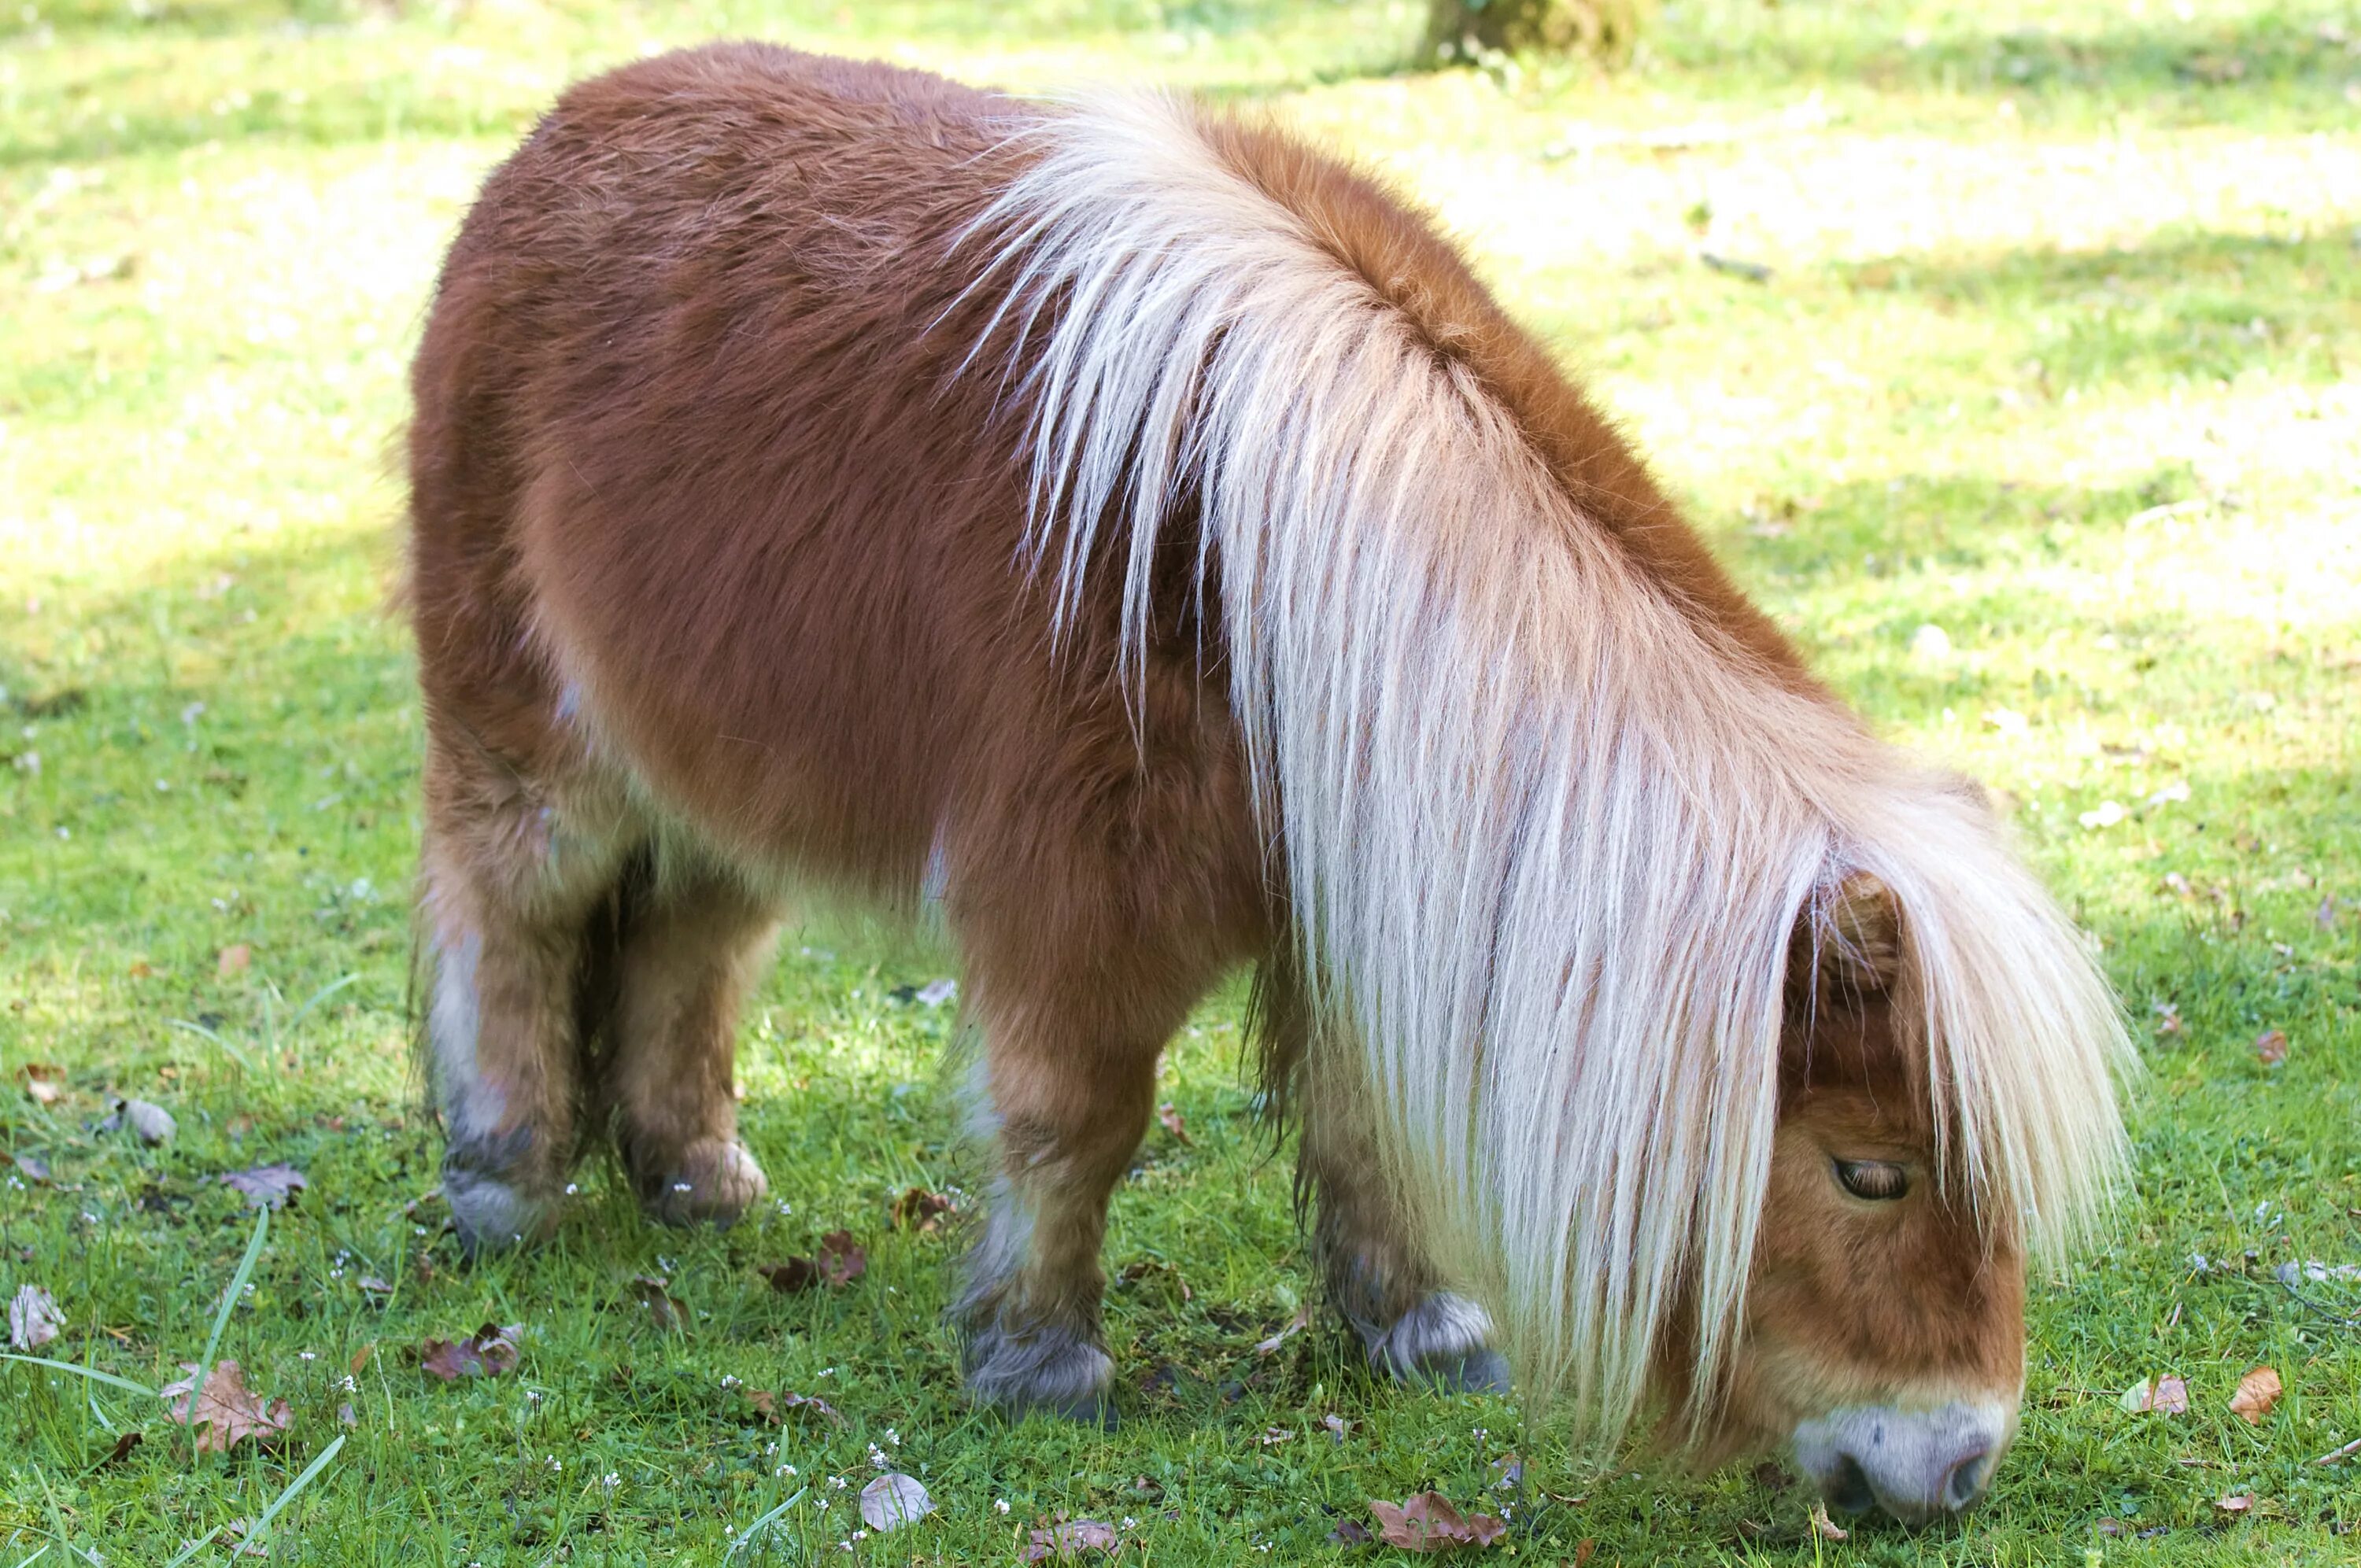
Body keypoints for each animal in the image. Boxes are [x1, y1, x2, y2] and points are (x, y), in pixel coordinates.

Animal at [403, 43, 2130, 1523]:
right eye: (1870, 1171)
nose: (1955, 1466)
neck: (1252, 550)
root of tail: (554, 138)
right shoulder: (1077, 894)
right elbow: (1079, 1118)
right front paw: (1041, 1359)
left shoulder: (1354, 886)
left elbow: (1365, 1122)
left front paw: (1421, 1328)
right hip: (530, 744)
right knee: (511, 915)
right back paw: (506, 1181)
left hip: (721, 768)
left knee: (688, 940)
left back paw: (696, 1178)